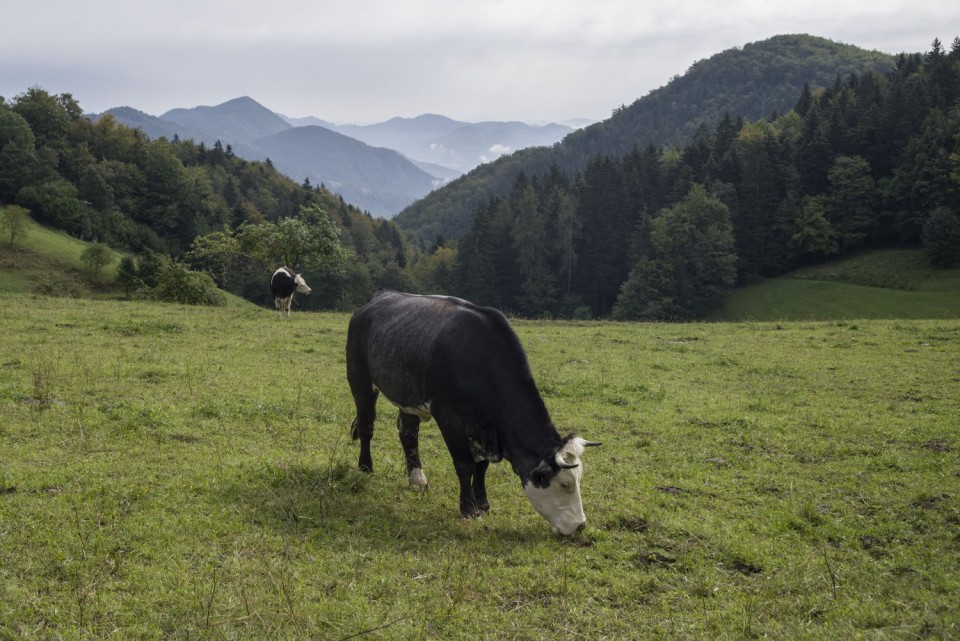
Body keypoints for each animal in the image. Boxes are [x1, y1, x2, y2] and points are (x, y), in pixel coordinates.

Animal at [344, 290, 600, 536]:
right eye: (565, 485)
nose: (580, 526)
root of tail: (378, 297)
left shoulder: (483, 429)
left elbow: (481, 467)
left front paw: (483, 504)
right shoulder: (449, 417)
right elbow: (464, 464)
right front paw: (467, 507)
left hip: (408, 394)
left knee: (408, 434)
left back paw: (417, 478)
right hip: (360, 380)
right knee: (367, 426)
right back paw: (365, 468)